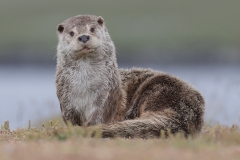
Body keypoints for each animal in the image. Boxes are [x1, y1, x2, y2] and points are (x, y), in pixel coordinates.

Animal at [55, 14, 204, 138]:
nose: (84, 37)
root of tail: (189, 112)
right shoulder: (66, 100)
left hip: (159, 89)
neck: (84, 87)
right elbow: (70, 119)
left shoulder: (106, 96)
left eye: (92, 29)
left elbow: (98, 118)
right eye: (72, 33)